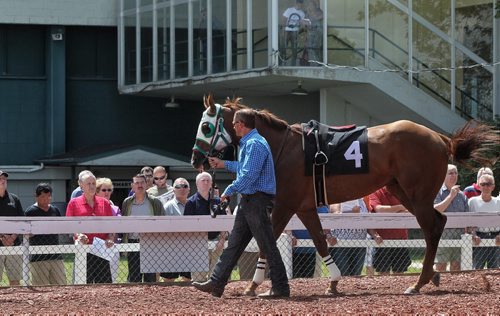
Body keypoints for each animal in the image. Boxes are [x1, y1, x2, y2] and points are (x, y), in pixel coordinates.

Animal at [190, 95, 496, 296]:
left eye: (206, 126)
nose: (195, 158)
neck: (282, 148)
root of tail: (440, 138)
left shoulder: (286, 205)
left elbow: (267, 243)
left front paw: (254, 286)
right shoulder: (305, 207)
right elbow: (319, 240)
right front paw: (334, 281)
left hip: (417, 194)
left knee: (431, 227)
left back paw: (418, 282)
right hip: (402, 191)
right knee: (438, 222)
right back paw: (431, 275)